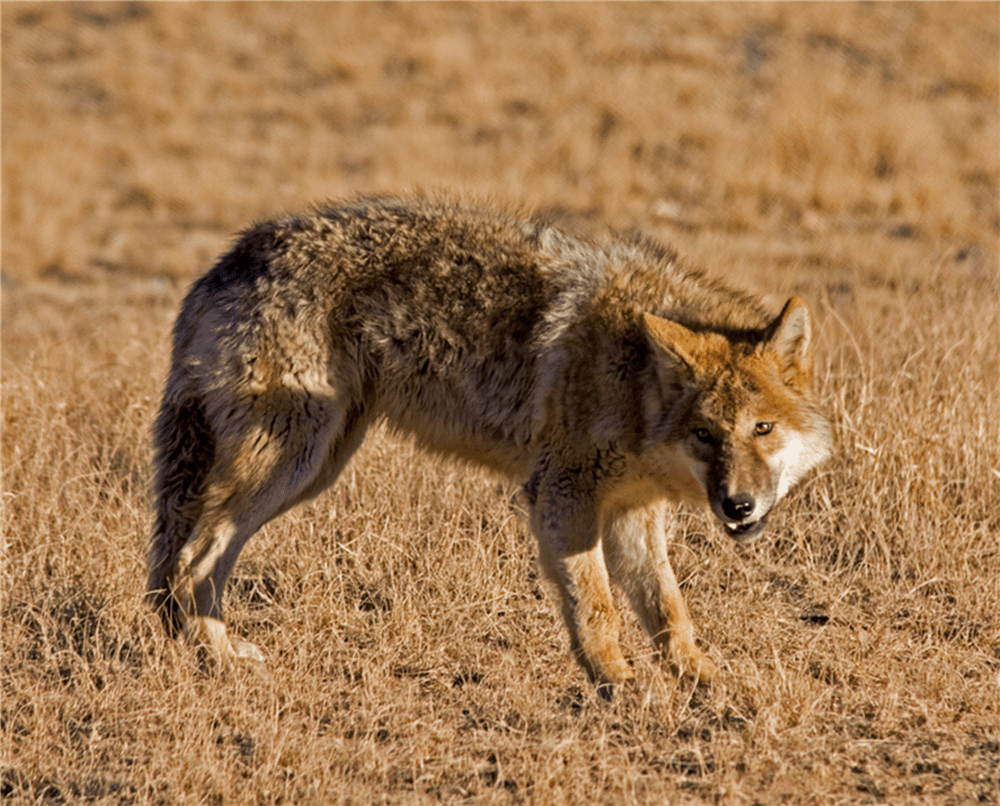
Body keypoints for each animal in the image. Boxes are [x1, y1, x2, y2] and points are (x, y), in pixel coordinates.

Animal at [146, 194, 828, 688]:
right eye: (705, 434)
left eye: (761, 429)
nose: (738, 505)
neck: (632, 377)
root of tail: (230, 260)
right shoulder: (560, 496)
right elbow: (597, 607)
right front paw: (620, 687)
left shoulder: (633, 511)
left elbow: (669, 612)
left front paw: (706, 683)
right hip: (292, 463)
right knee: (192, 559)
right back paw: (217, 661)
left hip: (310, 468)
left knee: (194, 563)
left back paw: (208, 649)